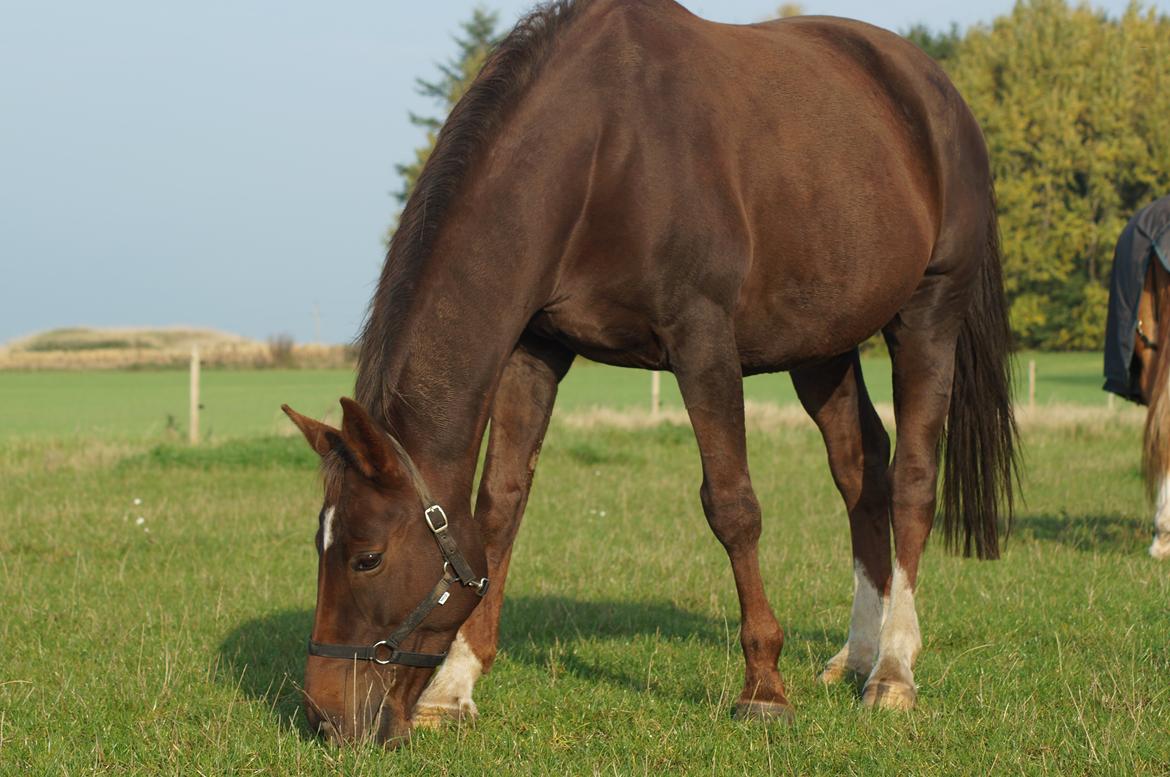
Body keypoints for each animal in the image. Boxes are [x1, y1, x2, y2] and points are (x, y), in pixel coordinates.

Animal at [280, 0, 1015, 748]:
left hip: (928, 313)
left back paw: (893, 669)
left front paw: (763, 688)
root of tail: (934, 89)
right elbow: (500, 506)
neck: (603, 154)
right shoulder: (534, 349)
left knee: (913, 481)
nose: (324, 716)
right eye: (319, 542)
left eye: (368, 556)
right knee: (860, 468)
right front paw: (454, 686)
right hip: (822, 346)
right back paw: (856, 654)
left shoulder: (702, 340)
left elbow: (733, 506)